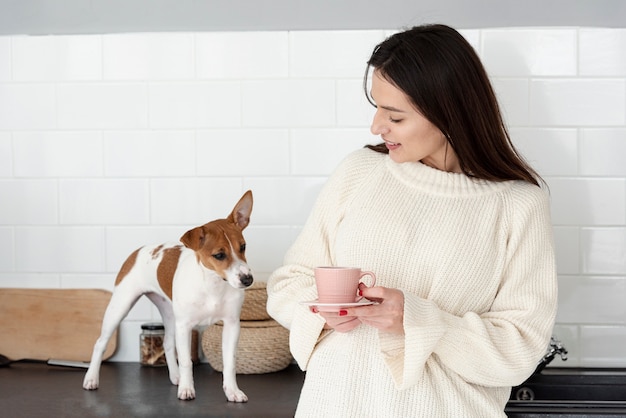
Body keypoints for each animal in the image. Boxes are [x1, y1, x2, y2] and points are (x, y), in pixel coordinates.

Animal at [83, 190, 254, 402]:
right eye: (219, 255)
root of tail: (139, 250)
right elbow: (187, 362)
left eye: (243, 247)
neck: (212, 285)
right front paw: (187, 389)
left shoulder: (231, 325)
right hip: (120, 307)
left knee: (167, 343)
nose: (248, 279)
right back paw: (91, 378)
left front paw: (232, 391)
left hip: (170, 314)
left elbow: (229, 363)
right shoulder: (185, 326)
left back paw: (176, 376)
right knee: (100, 343)